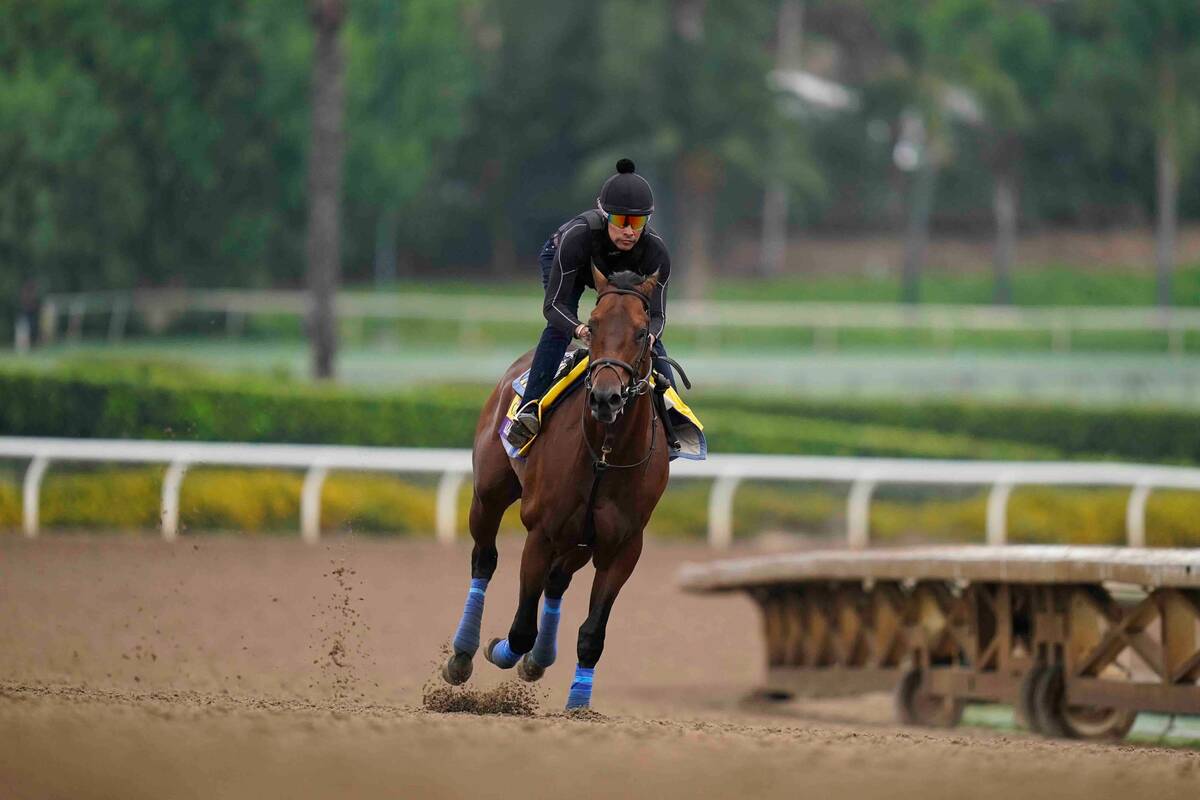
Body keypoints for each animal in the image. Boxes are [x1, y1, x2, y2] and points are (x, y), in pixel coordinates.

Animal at [441, 266, 672, 710]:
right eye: (593, 325)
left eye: (641, 332)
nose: (605, 397)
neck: (604, 453)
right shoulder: (542, 532)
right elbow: (519, 630)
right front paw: (499, 650)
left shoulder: (623, 546)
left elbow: (592, 634)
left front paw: (578, 702)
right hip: (488, 495)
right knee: (484, 559)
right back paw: (463, 653)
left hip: (580, 540)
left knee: (557, 580)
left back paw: (539, 658)